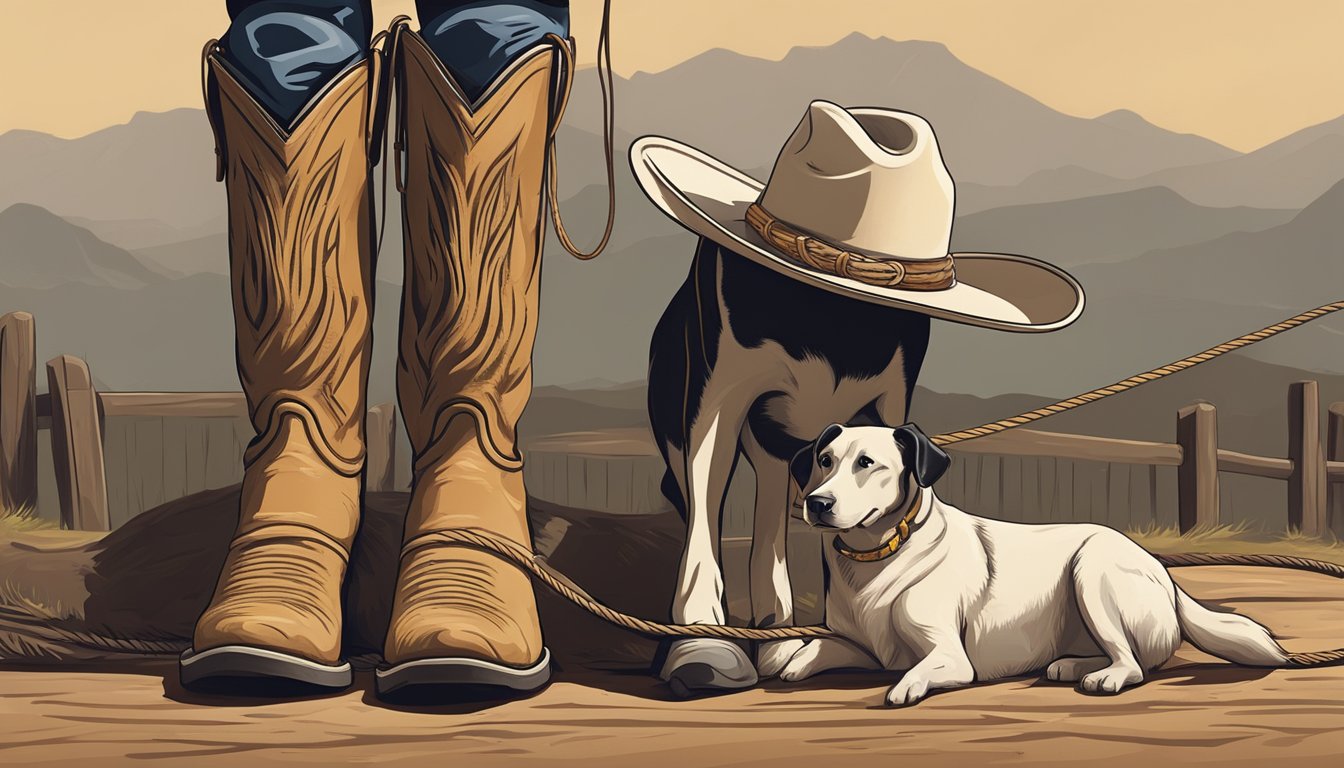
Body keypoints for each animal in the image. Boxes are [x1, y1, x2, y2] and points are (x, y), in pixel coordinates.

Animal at [784, 425, 1290, 704]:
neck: (880, 556)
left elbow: (916, 671)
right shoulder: (862, 647)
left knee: (1134, 663)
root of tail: (1164, 576)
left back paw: (1102, 677)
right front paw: (790, 662)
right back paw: (1072, 666)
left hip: (1092, 571)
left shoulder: (949, 654)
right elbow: (814, 647)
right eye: (824, 461)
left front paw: (905, 688)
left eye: (867, 463)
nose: (817, 503)